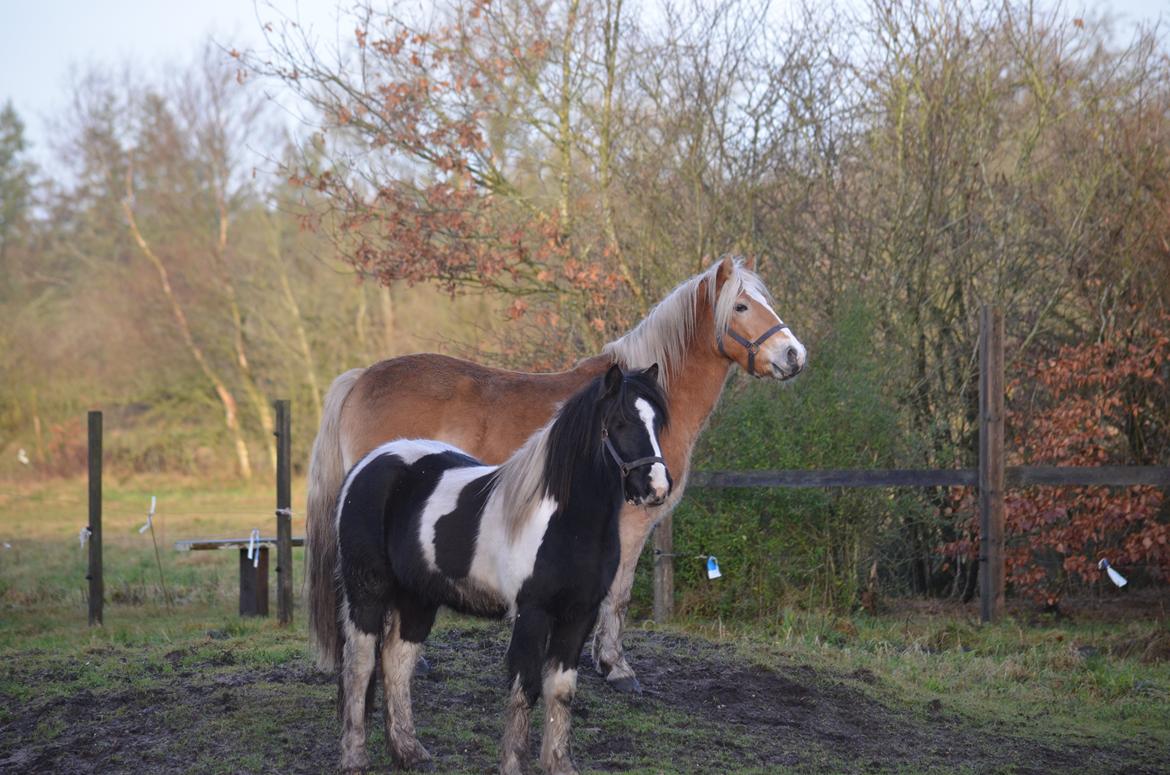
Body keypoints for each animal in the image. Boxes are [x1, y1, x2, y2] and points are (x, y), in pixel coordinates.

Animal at [306, 257, 809, 693]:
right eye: (741, 307)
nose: (794, 354)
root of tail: (361, 378)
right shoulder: (630, 523)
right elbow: (618, 594)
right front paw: (616, 667)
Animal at [334, 365, 673, 775]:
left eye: (657, 422)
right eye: (620, 422)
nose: (657, 487)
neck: (567, 522)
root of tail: (370, 462)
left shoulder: (579, 614)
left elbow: (561, 690)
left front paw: (560, 764)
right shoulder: (532, 613)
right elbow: (524, 689)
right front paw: (513, 764)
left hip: (418, 597)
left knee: (397, 661)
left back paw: (409, 752)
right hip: (367, 590)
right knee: (360, 663)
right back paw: (354, 756)